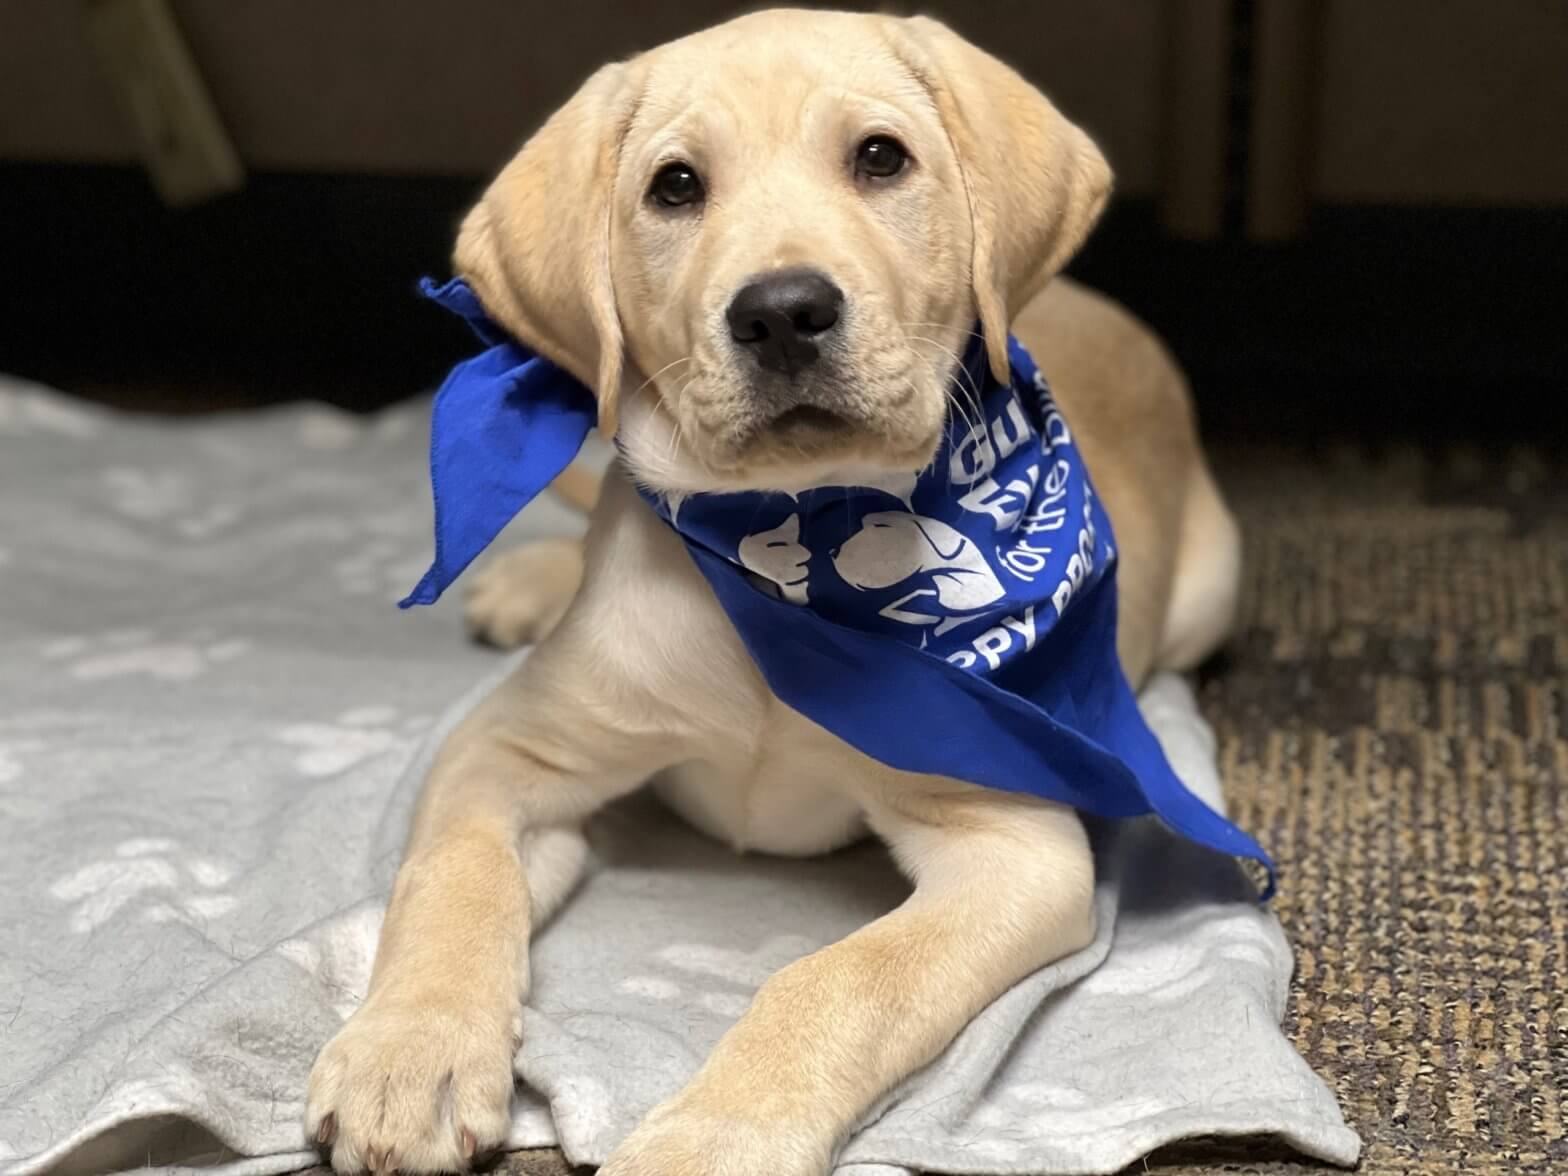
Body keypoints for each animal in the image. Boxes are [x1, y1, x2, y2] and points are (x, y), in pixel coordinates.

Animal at [302, 9, 1235, 1176]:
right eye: (674, 186)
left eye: (880, 158)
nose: (783, 312)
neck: (785, 554)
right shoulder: (507, 751)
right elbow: (453, 877)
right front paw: (409, 1049)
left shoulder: (1010, 846)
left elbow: (840, 980)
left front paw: (713, 1135)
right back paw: (528, 581)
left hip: (1212, 588)